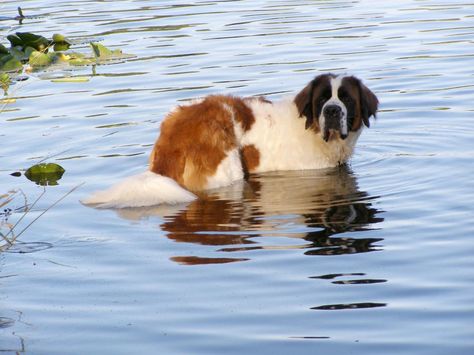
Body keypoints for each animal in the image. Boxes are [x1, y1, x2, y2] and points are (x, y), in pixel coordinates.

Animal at [81, 73, 378, 210]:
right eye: (322, 99)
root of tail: (171, 138)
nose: (332, 111)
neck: (313, 131)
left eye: (347, 99)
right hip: (227, 164)